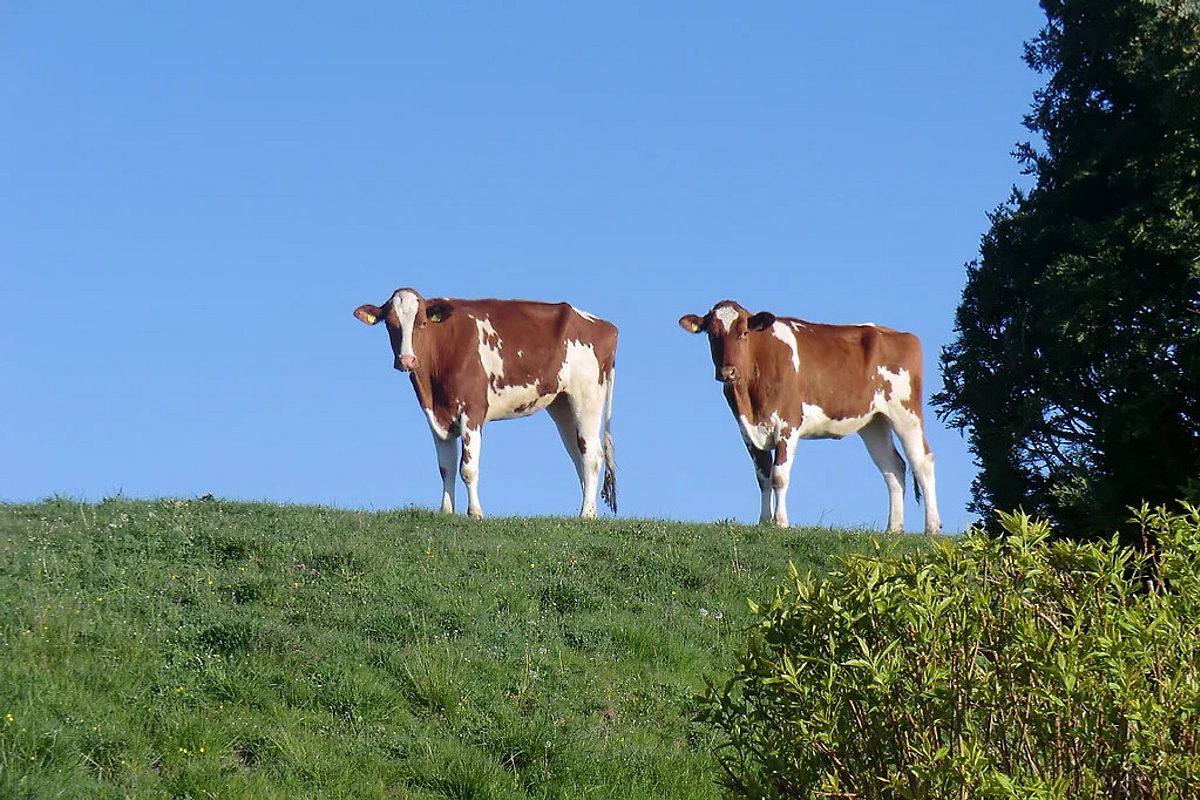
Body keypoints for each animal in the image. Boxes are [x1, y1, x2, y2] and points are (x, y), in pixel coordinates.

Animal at [354, 288, 617, 519]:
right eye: (390, 324)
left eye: (422, 323)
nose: (407, 360)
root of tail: (605, 326)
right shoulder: (436, 416)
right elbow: (446, 468)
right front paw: (446, 511)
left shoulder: (473, 410)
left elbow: (467, 468)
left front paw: (475, 513)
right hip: (562, 403)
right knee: (578, 454)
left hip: (587, 396)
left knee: (593, 456)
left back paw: (587, 515)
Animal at [679, 300, 941, 533]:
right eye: (711, 335)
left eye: (743, 332)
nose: (727, 371)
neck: (750, 401)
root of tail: (901, 334)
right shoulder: (748, 432)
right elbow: (763, 477)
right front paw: (763, 521)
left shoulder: (788, 425)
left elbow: (779, 476)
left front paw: (781, 522)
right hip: (873, 421)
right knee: (893, 466)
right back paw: (894, 528)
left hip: (906, 412)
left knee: (922, 461)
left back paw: (932, 527)